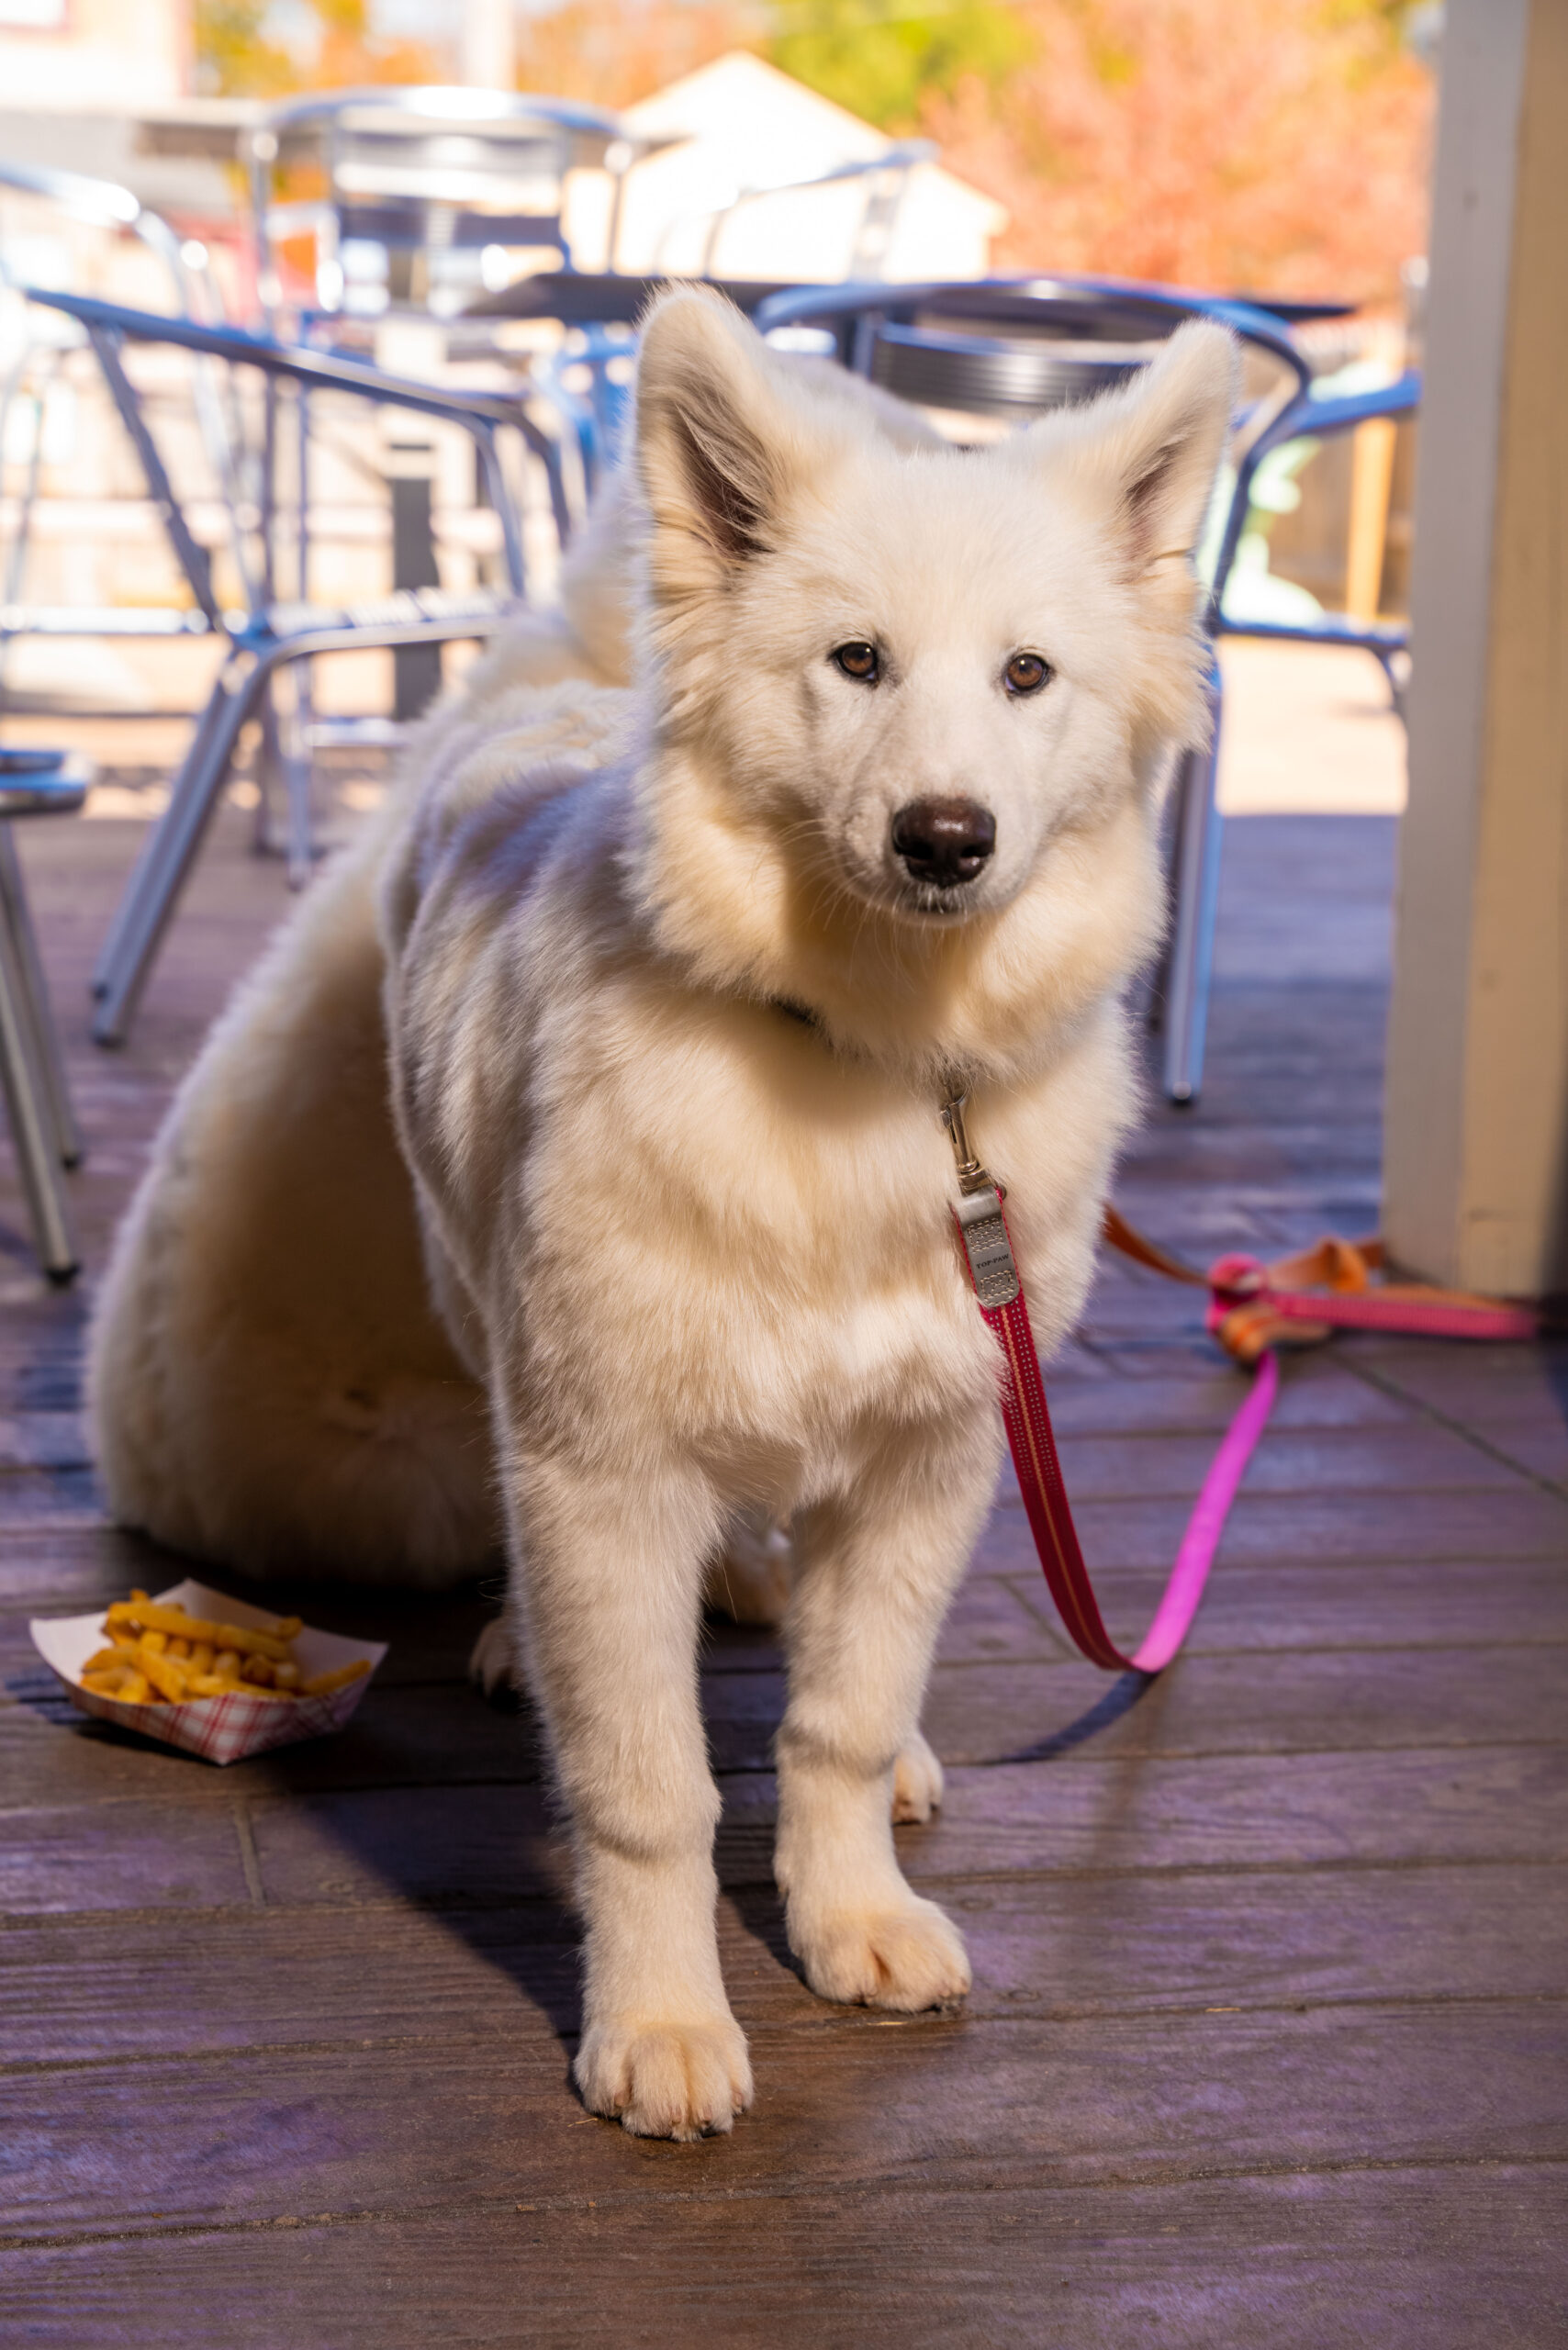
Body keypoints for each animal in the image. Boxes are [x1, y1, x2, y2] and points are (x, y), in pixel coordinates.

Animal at [89, 289, 1234, 2140]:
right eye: (855, 663)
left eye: (1026, 676)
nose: (945, 839)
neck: (872, 1059)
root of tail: (555, 697)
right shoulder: (601, 1470)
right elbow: (649, 1790)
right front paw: (664, 2021)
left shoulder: (934, 1456)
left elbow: (841, 1720)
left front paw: (849, 1914)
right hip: (470, 1296)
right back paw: (514, 1639)